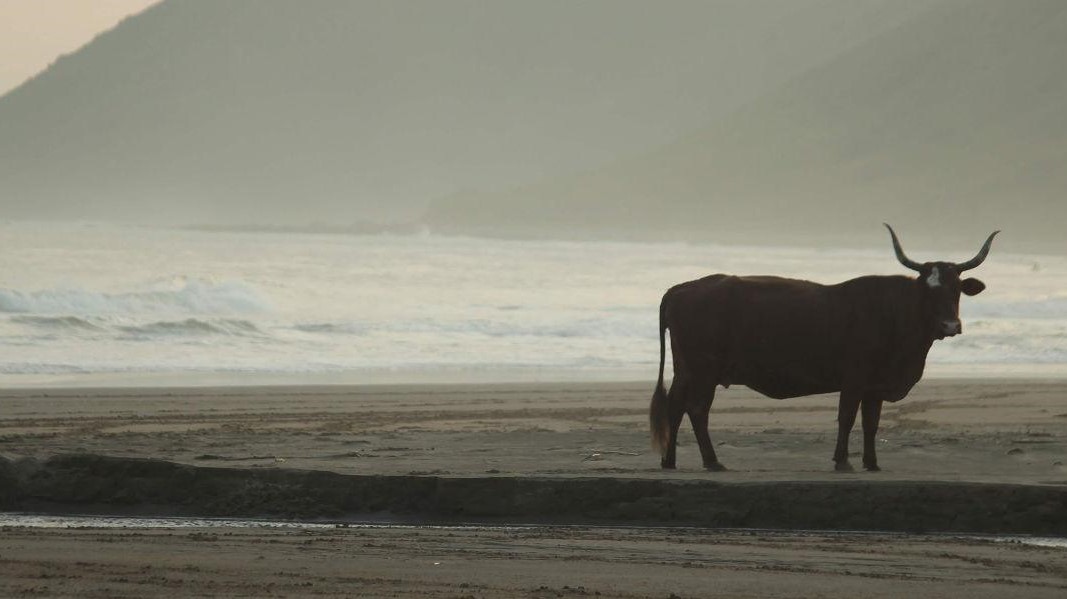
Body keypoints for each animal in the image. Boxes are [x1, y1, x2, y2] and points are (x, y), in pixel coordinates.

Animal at [648, 224, 998, 471]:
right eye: (929, 290)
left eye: (956, 289)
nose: (950, 326)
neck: (894, 313)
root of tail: (683, 288)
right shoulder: (854, 379)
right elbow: (847, 417)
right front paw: (843, 461)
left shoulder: (874, 385)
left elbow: (871, 423)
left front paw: (872, 463)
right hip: (703, 371)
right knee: (696, 409)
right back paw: (711, 461)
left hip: (686, 370)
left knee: (675, 406)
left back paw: (669, 460)